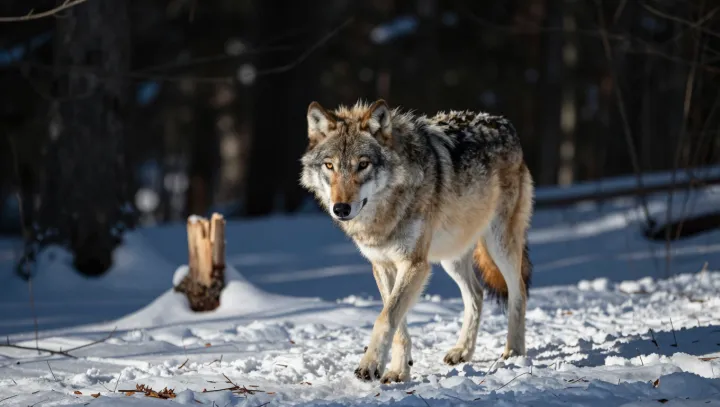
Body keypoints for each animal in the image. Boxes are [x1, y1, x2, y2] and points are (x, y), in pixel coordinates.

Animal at [299, 99, 533, 383]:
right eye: (330, 166)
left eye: (363, 164)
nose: (341, 208)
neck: (384, 214)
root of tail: (503, 122)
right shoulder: (384, 266)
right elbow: (396, 321)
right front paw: (399, 370)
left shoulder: (414, 264)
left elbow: (386, 318)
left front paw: (370, 365)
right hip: (451, 256)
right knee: (476, 295)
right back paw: (463, 351)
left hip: (499, 244)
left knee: (518, 290)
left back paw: (514, 351)